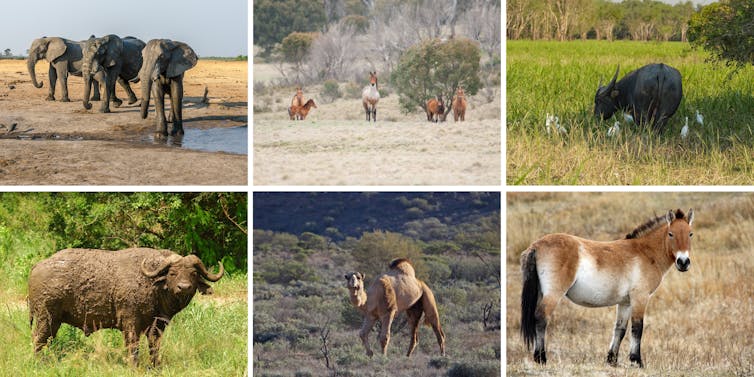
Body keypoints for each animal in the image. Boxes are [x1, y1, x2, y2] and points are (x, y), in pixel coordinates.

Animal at [29, 247, 223, 364]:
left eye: (193, 273)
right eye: (173, 273)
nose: (184, 287)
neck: (152, 286)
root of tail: (37, 266)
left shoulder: (157, 326)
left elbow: (154, 348)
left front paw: (155, 366)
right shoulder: (130, 324)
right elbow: (133, 349)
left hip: (53, 321)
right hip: (46, 318)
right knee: (38, 340)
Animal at [520, 207, 692, 366]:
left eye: (690, 234)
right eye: (671, 234)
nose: (683, 262)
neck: (645, 252)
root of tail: (536, 246)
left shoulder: (625, 303)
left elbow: (620, 329)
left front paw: (612, 361)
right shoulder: (640, 298)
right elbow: (637, 328)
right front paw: (636, 361)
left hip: (541, 293)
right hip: (553, 294)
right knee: (541, 318)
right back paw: (541, 358)